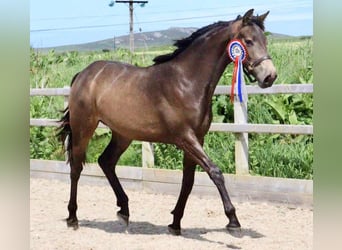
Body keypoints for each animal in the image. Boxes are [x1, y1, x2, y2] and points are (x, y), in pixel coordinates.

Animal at [58, 8, 278, 234]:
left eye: (265, 40)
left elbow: (188, 181)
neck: (186, 82)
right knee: (76, 168)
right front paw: (233, 220)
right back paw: (73, 218)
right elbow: (215, 172)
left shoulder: (198, 138)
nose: (270, 76)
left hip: (123, 134)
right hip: (84, 127)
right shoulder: (185, 138)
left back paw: (124, 211)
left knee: (106, 162)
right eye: (249, 41)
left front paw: (175, 223)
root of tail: (84, 74)